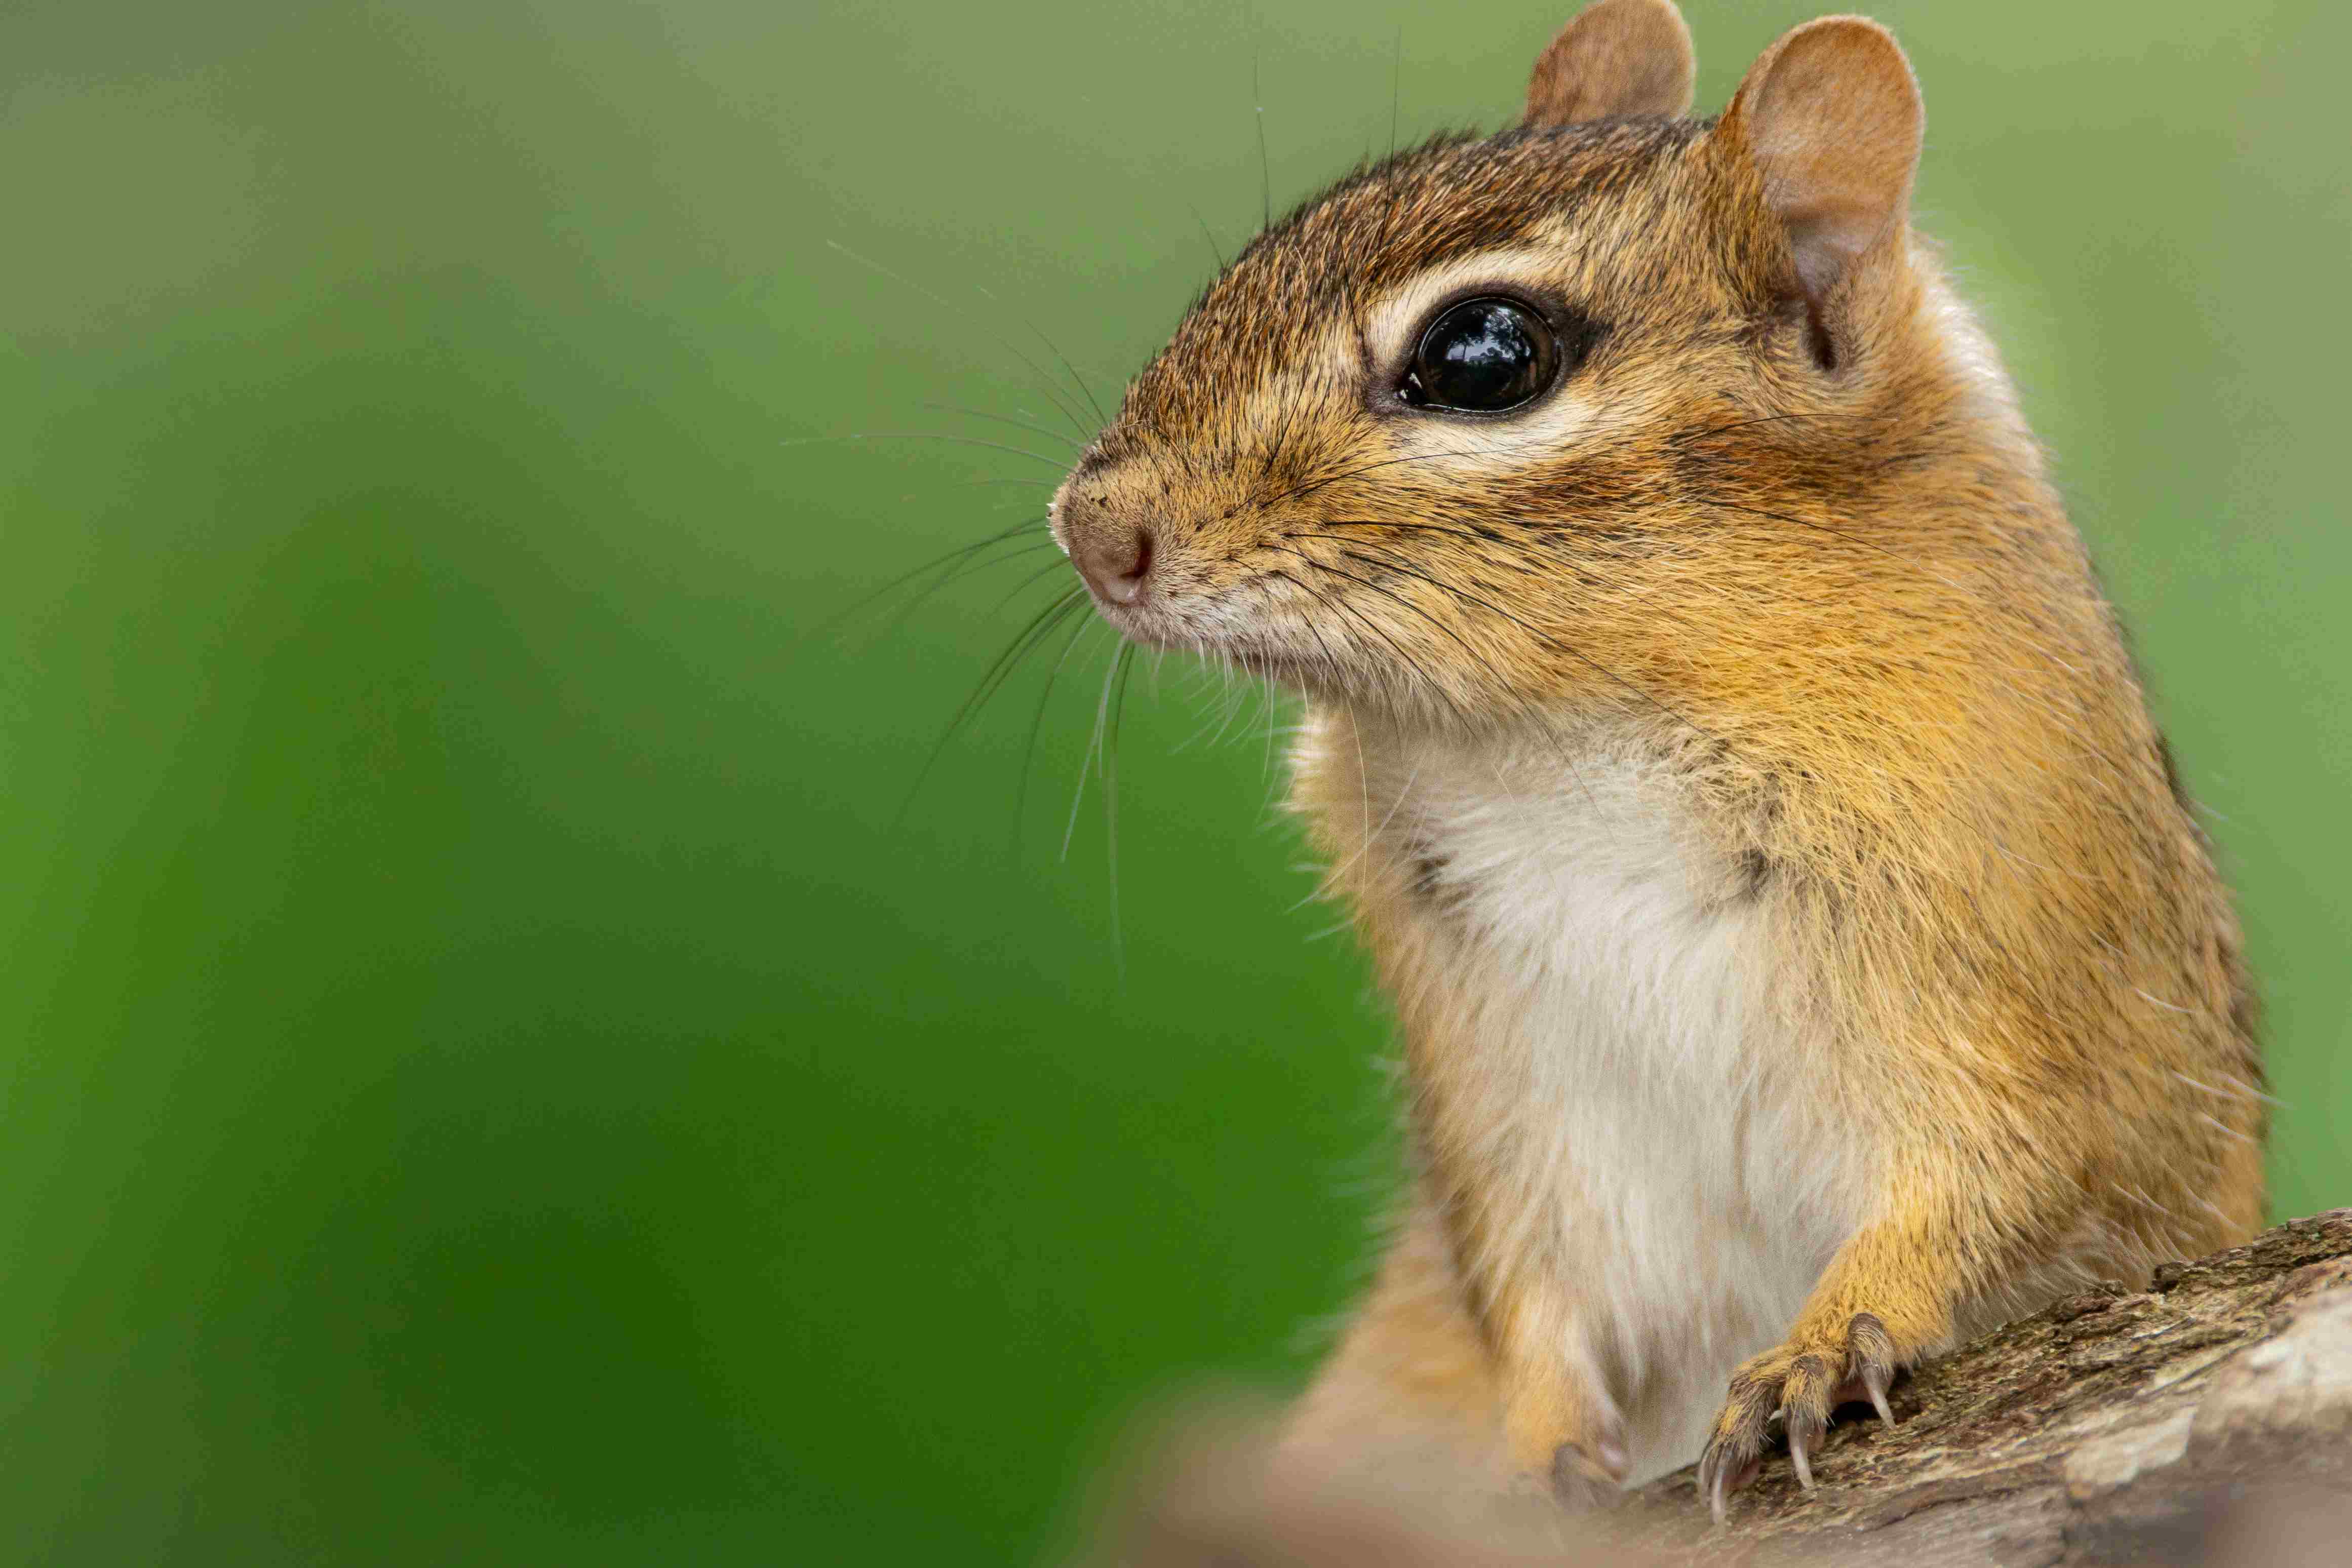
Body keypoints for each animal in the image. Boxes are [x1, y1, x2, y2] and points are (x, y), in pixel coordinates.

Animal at [1044, 0, 2265, 1521]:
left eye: (1483, 355)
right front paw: (1519, 1455)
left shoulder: (2027, 979)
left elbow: (1991, 1178)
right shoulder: (1497, 1082)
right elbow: (1528, 1282)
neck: (1562, 736)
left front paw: (1815, 1350)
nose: (1091, 528)